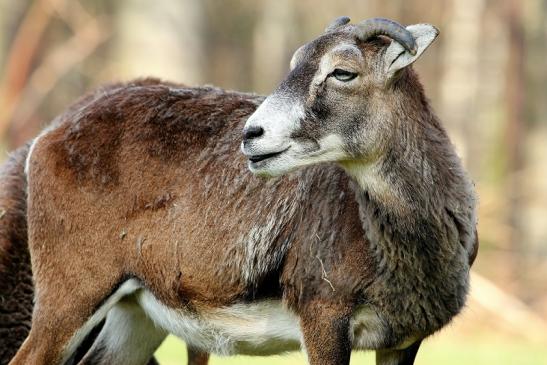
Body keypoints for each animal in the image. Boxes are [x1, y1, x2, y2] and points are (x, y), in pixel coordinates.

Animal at [10, 17, 478, 364]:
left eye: (343, 72)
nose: (252, 135)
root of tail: (50, 136)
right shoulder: (324, 321)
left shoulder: (401, 342)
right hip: (69, 301)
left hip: (134, 315)